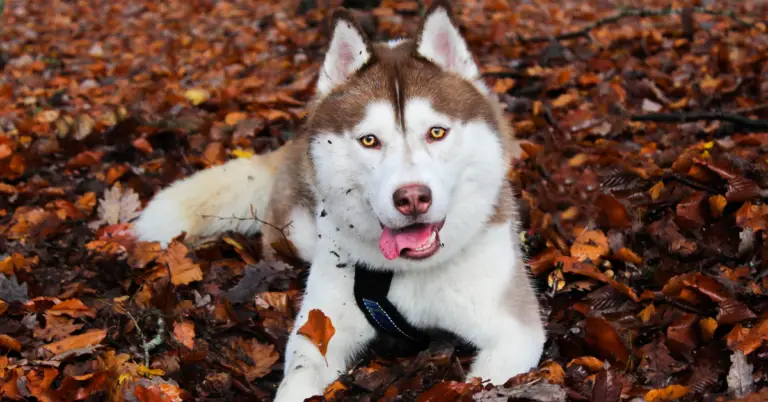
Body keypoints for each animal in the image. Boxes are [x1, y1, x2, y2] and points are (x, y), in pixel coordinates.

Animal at [136, 1, 544, 400]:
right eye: (369, 140)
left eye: (437, 132)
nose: (412, 198)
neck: (410, 271)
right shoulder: (321, 327)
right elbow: (299, 377)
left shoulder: (515, 331)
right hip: (297, 233)